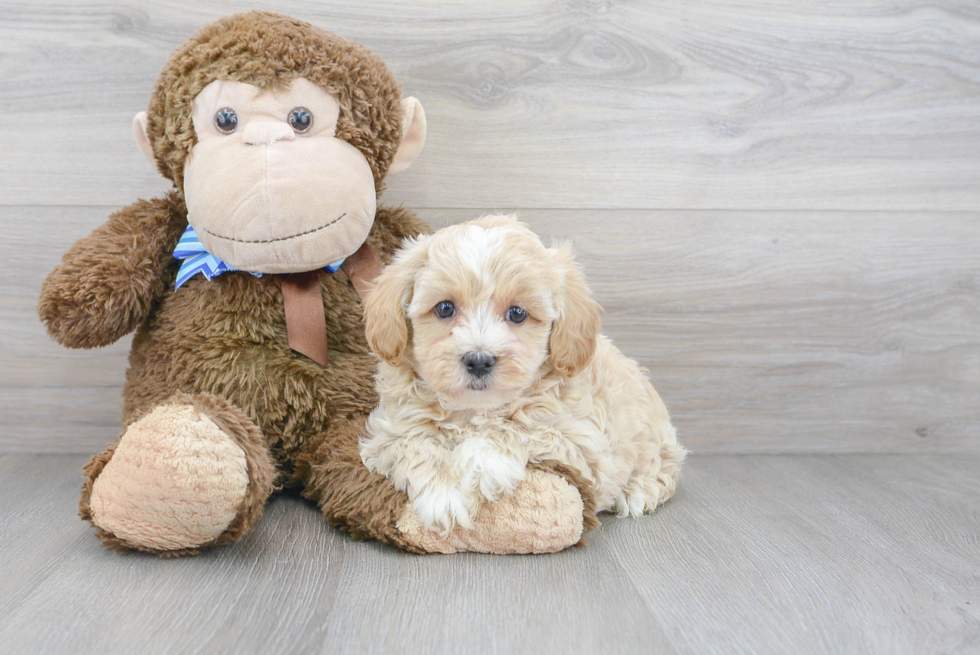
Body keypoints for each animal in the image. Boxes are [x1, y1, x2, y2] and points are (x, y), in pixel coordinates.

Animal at [362, 218, 688, 536]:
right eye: (444, 308)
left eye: (517, 313)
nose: (478, 360)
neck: (474, 409)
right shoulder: (391, 428)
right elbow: (417, 442)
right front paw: (443, 496)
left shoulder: (587, 442)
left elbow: (523, 428)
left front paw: (481, 460)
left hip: (654, 440)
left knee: (664, 468)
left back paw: (637, 493)